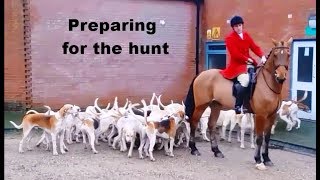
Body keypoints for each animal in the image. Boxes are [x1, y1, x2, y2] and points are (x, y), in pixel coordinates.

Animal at [184, 37, 292, 170]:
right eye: (276, 55)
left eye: (288, 55)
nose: (281, 77)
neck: (268, 84)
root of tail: (201, 74)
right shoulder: (261, 115)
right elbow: (259, 138)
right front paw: (258, 160)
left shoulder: (271, 116)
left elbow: (267, 138)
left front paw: (267, 159)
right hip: (201, 105)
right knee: (194, 122)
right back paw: (194, 149)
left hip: (216, 105)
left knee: (211, 125)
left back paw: (216, 151)